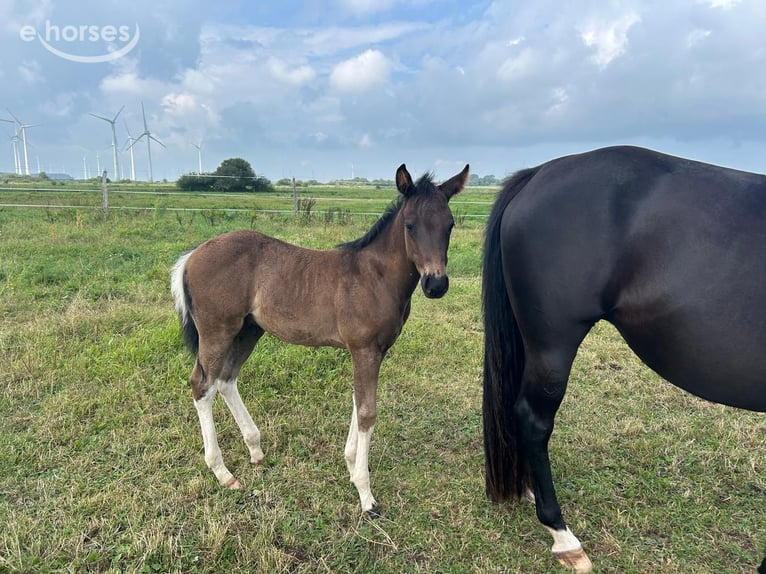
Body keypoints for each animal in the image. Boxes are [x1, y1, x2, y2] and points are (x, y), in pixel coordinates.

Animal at [170, 163, 468, 516]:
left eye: (449, 225)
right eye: (410, 225)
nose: (436, 285)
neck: (375, 276)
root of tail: (191, 255)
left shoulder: (375, 351)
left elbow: (358, 401)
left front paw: (352, 465)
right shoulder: (364, 349)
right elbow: (367, 411)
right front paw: (366, 494)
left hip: (248, 330)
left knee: (226, 380)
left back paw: (255, 449)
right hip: (218, 330)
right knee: (202, 384)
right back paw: (222, 471)